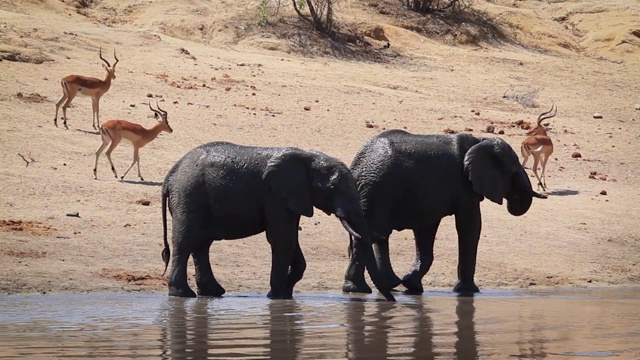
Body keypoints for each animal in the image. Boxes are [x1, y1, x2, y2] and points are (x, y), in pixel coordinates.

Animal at [161, 141, 396, 300]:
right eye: (332, 189)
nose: (391, 301)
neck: (306, 157)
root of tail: (171, 174)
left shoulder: (293, 198)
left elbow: (291, 240)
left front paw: (284, 293)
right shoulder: (275, 196)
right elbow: (282, 239)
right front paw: (276, 296)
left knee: (202, 245)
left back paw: (212, 293)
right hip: (188, 196)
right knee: (185, 243)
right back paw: (183, 294)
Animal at [340, 129, 544, 296]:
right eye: (514, 170)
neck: (479, 140)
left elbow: (426, 232)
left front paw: (412, 286)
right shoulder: (463, 187)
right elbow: (470, 226)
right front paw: (468, 292)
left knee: (372, 237)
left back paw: (379, 286)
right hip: (379, 191)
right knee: (371, 236)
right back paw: (361, 289)